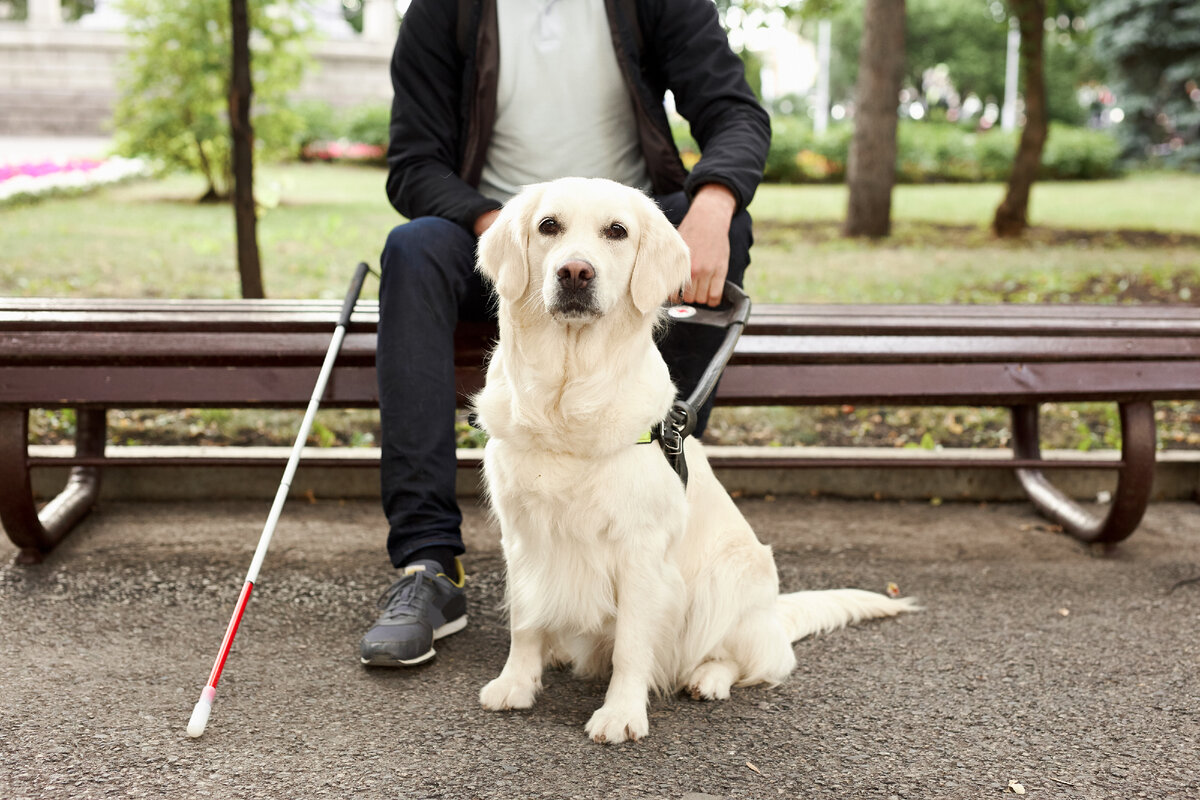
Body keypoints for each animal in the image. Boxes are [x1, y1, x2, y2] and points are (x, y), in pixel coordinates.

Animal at [470, 176, 916, 743]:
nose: (574, 272)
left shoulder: (641, 551)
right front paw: (516, 683)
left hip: (729, 578)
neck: (568, 399)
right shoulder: (523, 536)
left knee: (751, 659)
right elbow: (525, 621)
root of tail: (774, 614)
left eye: (616, 231)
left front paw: (621, 713)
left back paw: (708, 679)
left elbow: (632, 646)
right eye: (549, 226)